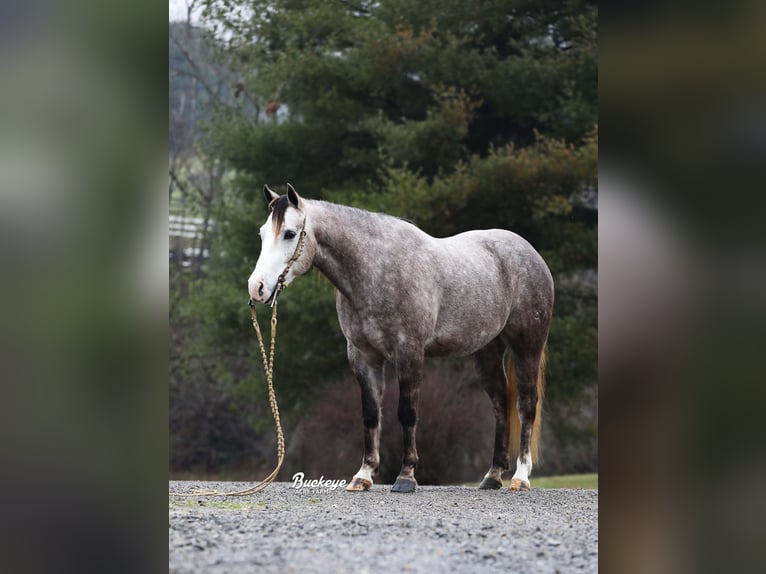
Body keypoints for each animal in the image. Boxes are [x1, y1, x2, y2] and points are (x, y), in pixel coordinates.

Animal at [249, 184, 556, 496]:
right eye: (262, 233)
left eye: (289, 233)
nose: (257, 288)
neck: (376, 271)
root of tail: (530, 253)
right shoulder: (363, 357)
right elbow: (371, 414)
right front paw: (363, 476)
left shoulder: (409, 353)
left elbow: (407, 413)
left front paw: (406, 476)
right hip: (487, 351)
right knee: (500, 403)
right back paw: (492, 476)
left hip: (527, 346)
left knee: (526, 404)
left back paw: (521, 476)